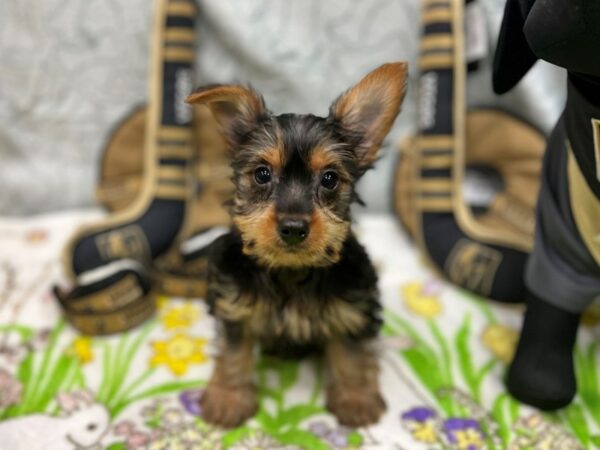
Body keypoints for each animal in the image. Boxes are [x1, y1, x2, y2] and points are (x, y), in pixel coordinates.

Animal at [186, 61, 408, 428]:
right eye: (262, 174)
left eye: (330, 179)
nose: (292, 228)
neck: (290, 270)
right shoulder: (234, 303)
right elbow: (233, 352)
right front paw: (228, 399)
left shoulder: (352, 305)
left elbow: (351, 352)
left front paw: (355, 398)